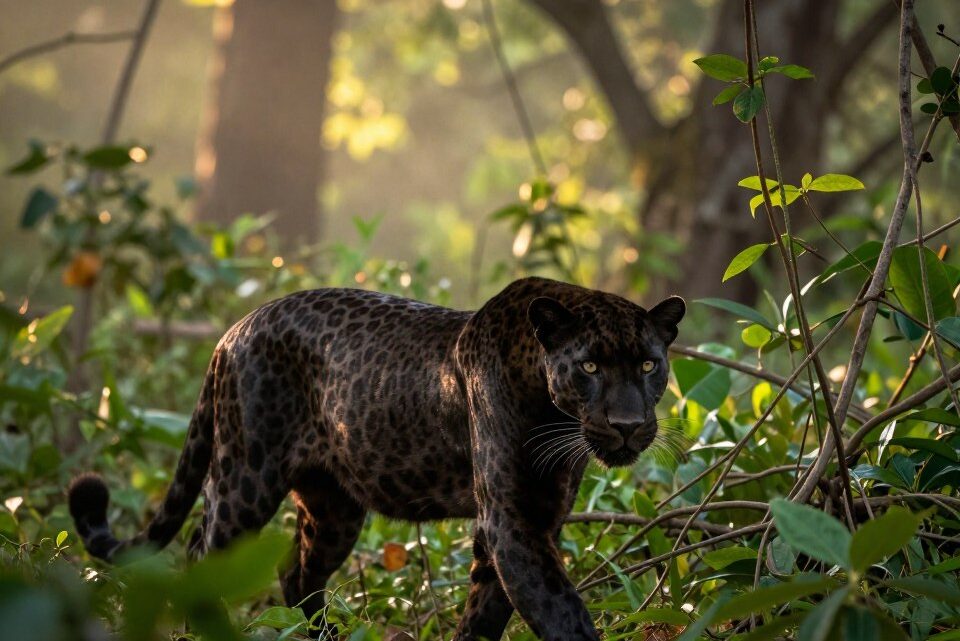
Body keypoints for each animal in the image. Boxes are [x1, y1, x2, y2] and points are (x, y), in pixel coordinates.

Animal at [68, 276, 685, 641]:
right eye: (590, 367)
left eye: (649, 365)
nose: (628, 426)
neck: (553, 414)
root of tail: (231, 331)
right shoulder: (512, 521)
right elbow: (560, 612)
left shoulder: (533, 519)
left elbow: (486, 612)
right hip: (244, 479)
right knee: (202, 555)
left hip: (334, 507)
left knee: (297, 571)